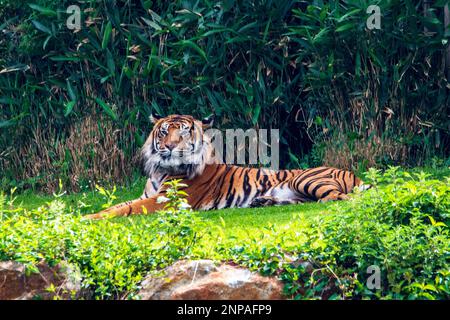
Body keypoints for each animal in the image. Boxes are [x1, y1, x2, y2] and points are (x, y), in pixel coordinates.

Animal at [84, 113, 370, 220]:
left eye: (184, 132)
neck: (161, 169)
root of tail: (353, 174)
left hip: (307, 179)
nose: (171, 146)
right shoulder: (148, 194)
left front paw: (90, 218)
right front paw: (87, 215)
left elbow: (126, 210)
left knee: (338, 198)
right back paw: (262, 202)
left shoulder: (165, 201)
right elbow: (117, 205)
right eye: (164, 132)